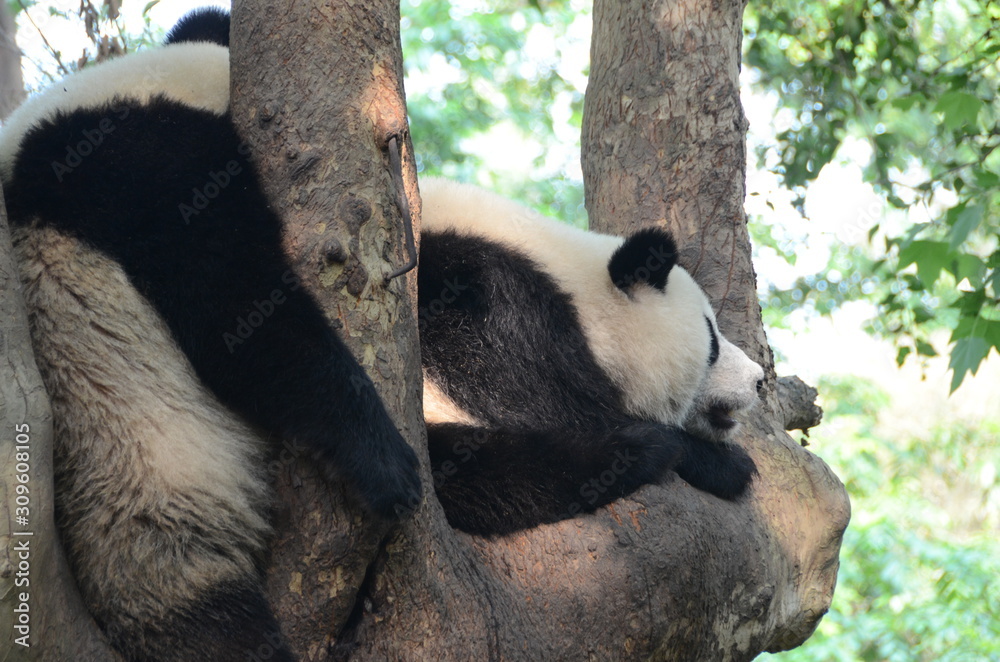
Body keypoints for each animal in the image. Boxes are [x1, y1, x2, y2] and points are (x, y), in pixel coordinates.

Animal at [417, 178, 765, 536]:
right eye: (712, 340)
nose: (758, 379)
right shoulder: (491, 294)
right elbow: (538, 404)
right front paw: (725, 462)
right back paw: (641, 451)